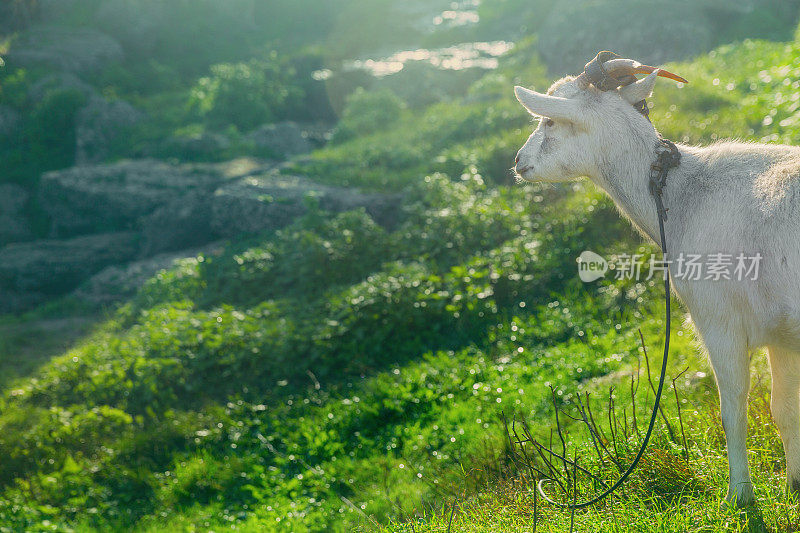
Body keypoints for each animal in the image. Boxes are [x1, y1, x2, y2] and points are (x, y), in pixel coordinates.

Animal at [516, 58, 796, 508]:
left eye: (548, 120)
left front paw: (738, 497)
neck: (679, 195)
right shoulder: (781, 333)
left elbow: (733, 410)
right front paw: (794, 485)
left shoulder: (719, 323)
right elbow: (784, 408)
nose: (518, 161)